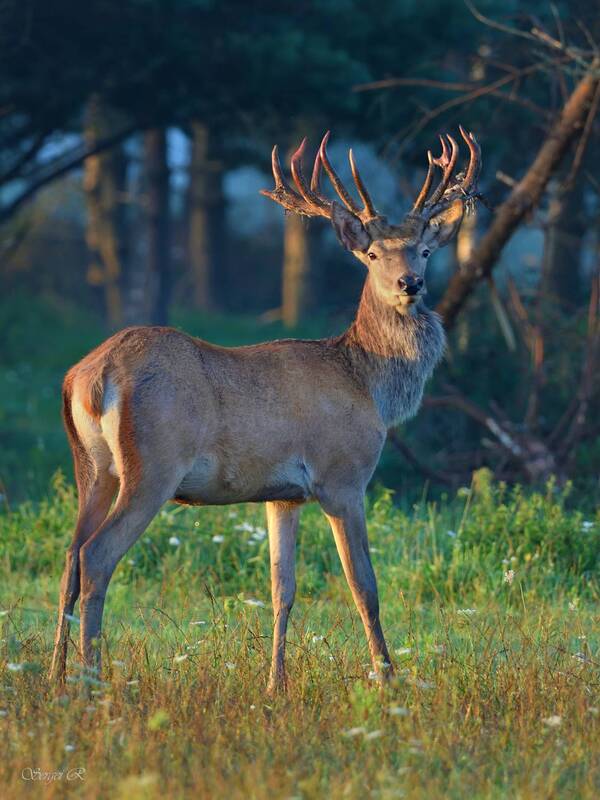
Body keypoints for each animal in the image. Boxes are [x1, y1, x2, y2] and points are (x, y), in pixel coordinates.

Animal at [49, 127, 481, 693]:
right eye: (371, 256)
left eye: (426, 250)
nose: (410, 284)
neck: (368, 382)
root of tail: (90, 376)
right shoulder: (343, 477)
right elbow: (364, 585)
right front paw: (388, 679)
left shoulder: (283, 495)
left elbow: (283, 588)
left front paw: (275, 683)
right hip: (153, 464)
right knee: (97, 556)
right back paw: (90, 681)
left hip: (93, 468)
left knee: (70, 559)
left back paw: (55, 676)